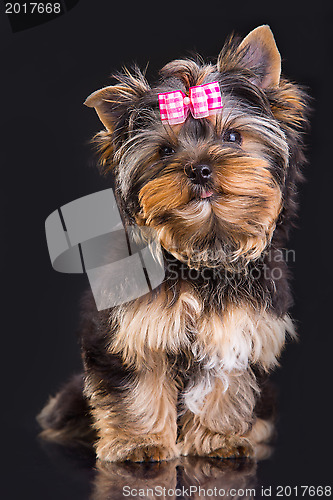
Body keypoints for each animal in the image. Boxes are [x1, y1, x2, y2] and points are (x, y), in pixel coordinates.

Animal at [38, 23, 308, 460]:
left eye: (233, 136)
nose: (199, 168)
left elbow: (225, 386)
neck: (204, 250)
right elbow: (139, 382)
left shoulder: (236, 328)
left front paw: (218, 439)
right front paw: (140, 442)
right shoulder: (134, 328)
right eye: (164, 151)